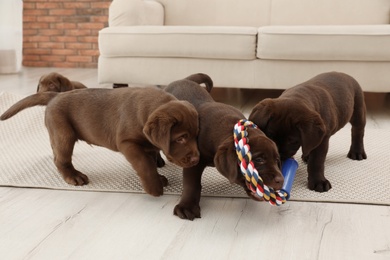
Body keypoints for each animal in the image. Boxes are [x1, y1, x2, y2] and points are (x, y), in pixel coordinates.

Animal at [0, 87, 200, 197]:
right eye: (180, 138)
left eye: (195, 136)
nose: (196, 159)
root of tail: (55, 96)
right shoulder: (127, 143)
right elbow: (145, 165)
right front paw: (154, 187)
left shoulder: (148, 145)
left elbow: (150, 160)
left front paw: (158, 178)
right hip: (64, 133)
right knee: (60, 159)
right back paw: (74, 176)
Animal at [165, 73, 284, 219]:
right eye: (259, 159)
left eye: (277, 161)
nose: (281, 180)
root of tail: (184, 79)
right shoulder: (193, 160)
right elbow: (191, 184)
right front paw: (187, 207)